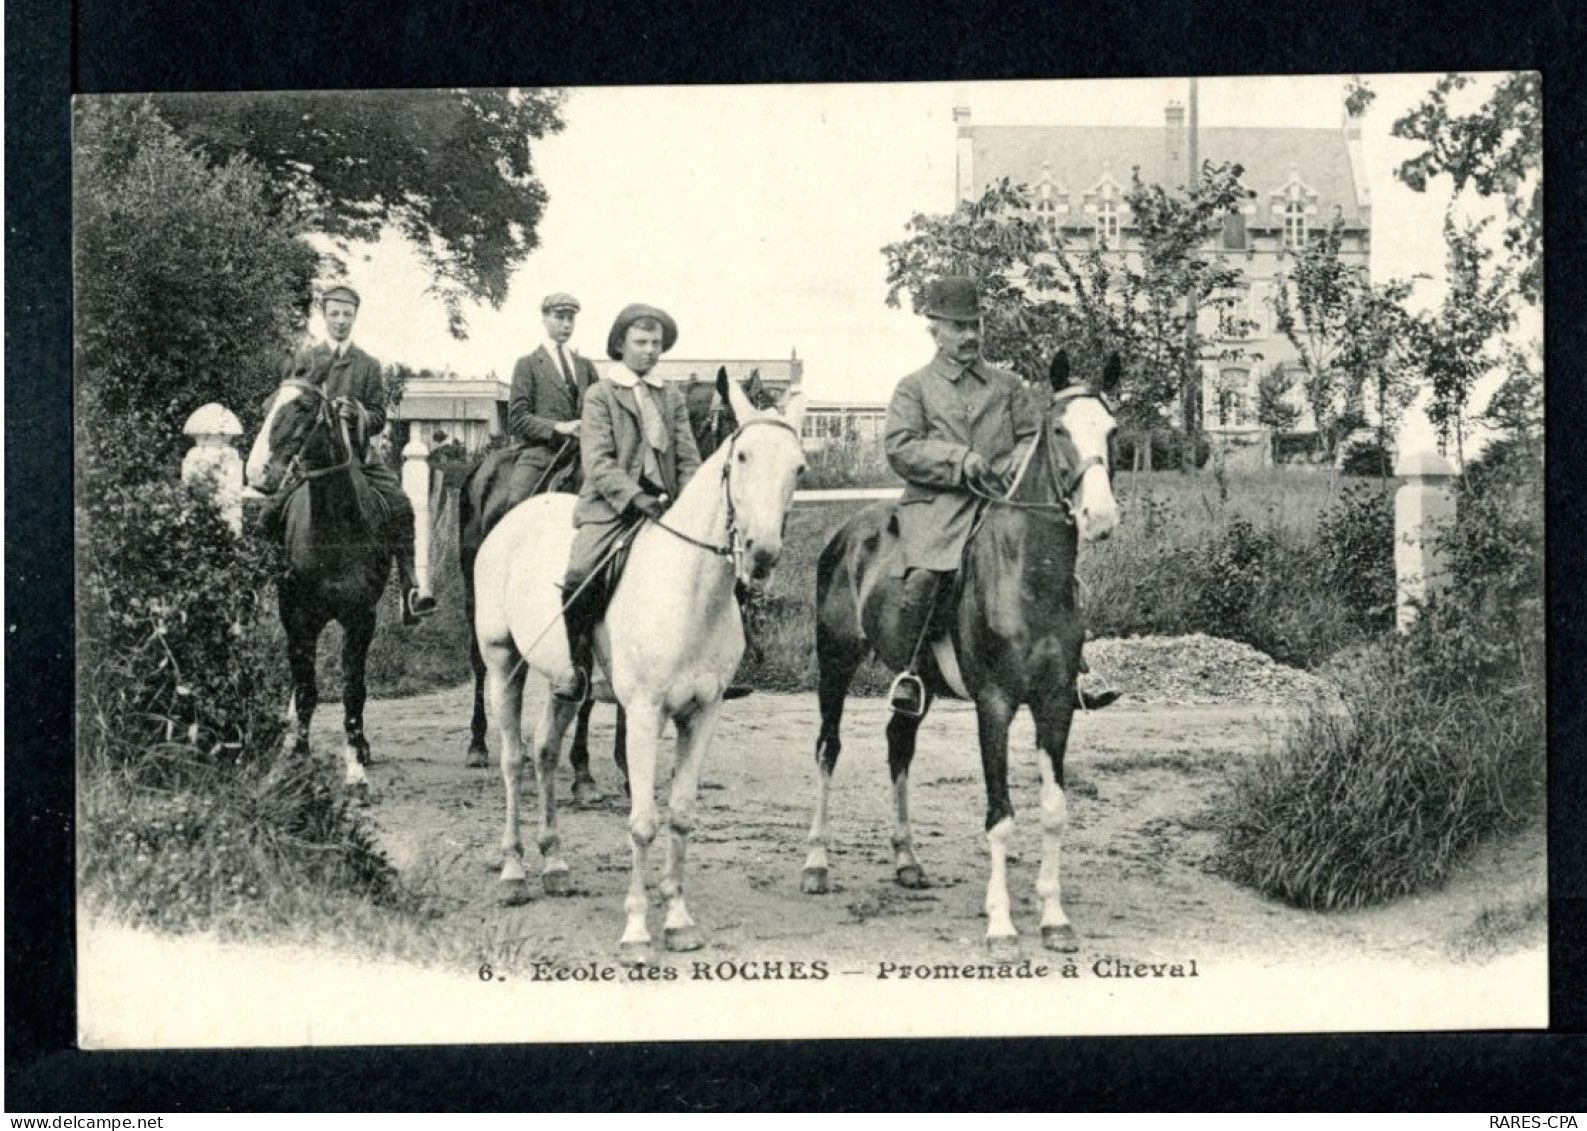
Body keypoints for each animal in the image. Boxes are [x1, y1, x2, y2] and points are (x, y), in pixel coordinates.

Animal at [242, 374, 391, 799]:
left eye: (303, 408)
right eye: (266, 407)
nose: (257, 473)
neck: (333, 529)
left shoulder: (360, 620)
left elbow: (353, 691)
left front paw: (355, 768)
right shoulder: (296, 616)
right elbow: (307, 689)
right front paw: (296, 760)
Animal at [472, 377, 806, 964]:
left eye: (799, 468)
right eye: (741, 455)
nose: (761, 553)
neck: (689, 588)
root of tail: (515, 515)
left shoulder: (703, 714)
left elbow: (680, 814)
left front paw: (677, 921)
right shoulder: (646, 714)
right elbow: (643, 822)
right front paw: (635, 931)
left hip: (564, 684)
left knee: (545, 752)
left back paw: (554, 864)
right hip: (502, 662)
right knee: (513, 761)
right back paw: (513, 871)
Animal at [799, 350, 1123, 951]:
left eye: (1112, 430)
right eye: (1059, 430)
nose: (1101, 517)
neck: (1028, 576)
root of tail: (847, 532)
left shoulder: (1056, 704)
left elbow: (1054, 810)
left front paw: (1054, 917)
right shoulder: (993, 704)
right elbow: (1000, 814)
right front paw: (1000, 925)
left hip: (916, 685)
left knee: (898, 744)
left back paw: (906, 860)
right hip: (835, 661)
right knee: (828, 748)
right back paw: (815, 864)